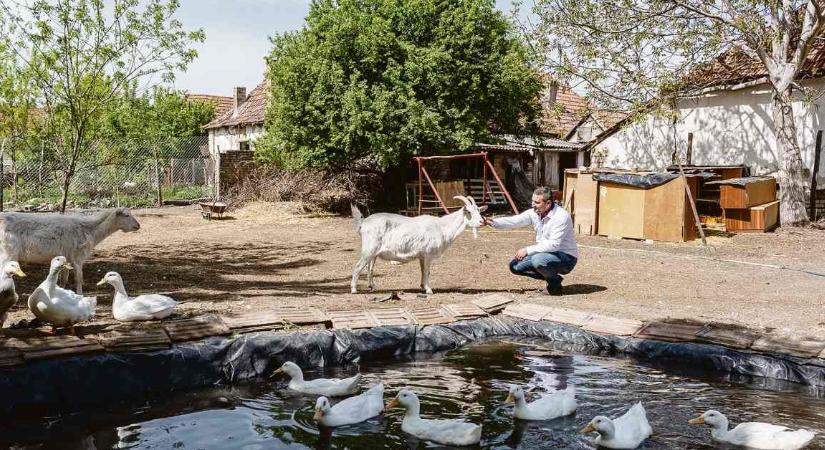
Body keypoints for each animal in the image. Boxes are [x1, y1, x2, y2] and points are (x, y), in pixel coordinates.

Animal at [0, 208, 141, 296]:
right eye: (126, 215)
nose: (138, 225)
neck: (90, 230)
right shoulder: (77, 258)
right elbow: (79, 279)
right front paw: (80, 295)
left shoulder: (66, 259)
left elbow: (63, 280)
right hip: (7, 253)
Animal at [350, 194, 486, 294]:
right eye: (469, 212)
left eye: (479, 211)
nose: (482, 222)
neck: (442, 227)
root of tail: (364, 223)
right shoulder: (428, 254)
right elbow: (427, 272)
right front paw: (429, 290)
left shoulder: (422, 256)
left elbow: (422, 271)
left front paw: (422, 287)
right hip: (369, 249)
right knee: (358, 266)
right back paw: (354, 289)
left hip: (373, 253)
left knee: (369, 268)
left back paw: (372, 287)